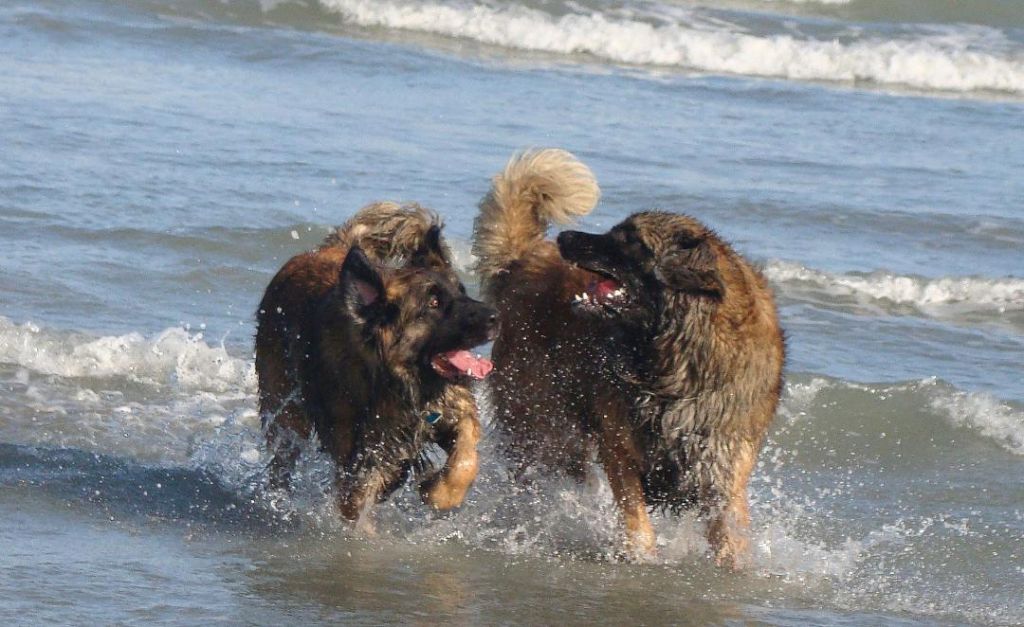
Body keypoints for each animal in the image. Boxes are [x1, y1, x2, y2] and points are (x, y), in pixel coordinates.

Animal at [256, 204, 495, 524]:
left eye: (462, 292)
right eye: (433, 304)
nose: (495, 316)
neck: (399, 381)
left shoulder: (454, 410)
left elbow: (466, 458)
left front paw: (439, 493)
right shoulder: (358, 461)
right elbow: (356, 503)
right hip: (285, 412)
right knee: (282, 458)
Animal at [473, 151, 782, 569]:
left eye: (630, 241)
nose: (566, 238)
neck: (674, 362)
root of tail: (523, 260)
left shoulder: (722, 468)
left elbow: (729, 536)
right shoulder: (620, 445)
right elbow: (637, 521)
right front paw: (641, 558)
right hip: (545, 426)